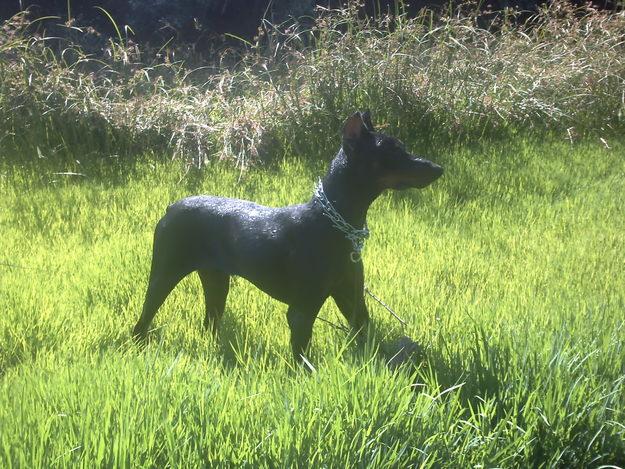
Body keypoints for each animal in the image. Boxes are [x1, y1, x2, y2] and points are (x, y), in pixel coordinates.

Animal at [132, 111, 444, 364]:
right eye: (394, 151)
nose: (438, 169)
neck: (333, 223)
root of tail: (171, 206)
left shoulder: (351, 297)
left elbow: (365, 334)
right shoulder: (302, 310)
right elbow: (301, 355)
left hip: (216, 279)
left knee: (210, 320)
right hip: (165, 272)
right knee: (143, 318)